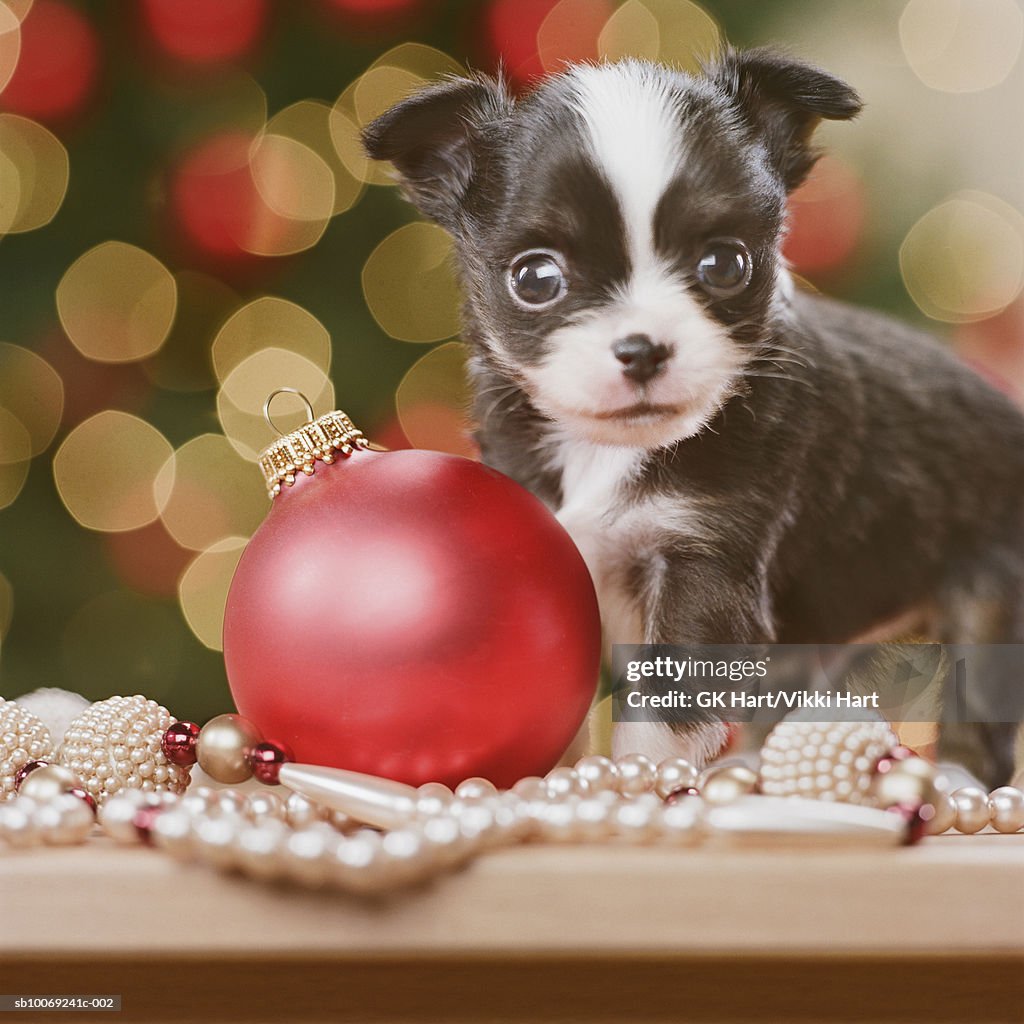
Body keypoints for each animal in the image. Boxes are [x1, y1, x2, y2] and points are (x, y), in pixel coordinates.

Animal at [360, 49, 1024, 782]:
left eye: (726, 263)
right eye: (535, 279)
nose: (642, 348)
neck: (606, 451)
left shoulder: (702, 564)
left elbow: (662, 704)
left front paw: (639, 785)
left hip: (991, 600)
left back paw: (953, 778)